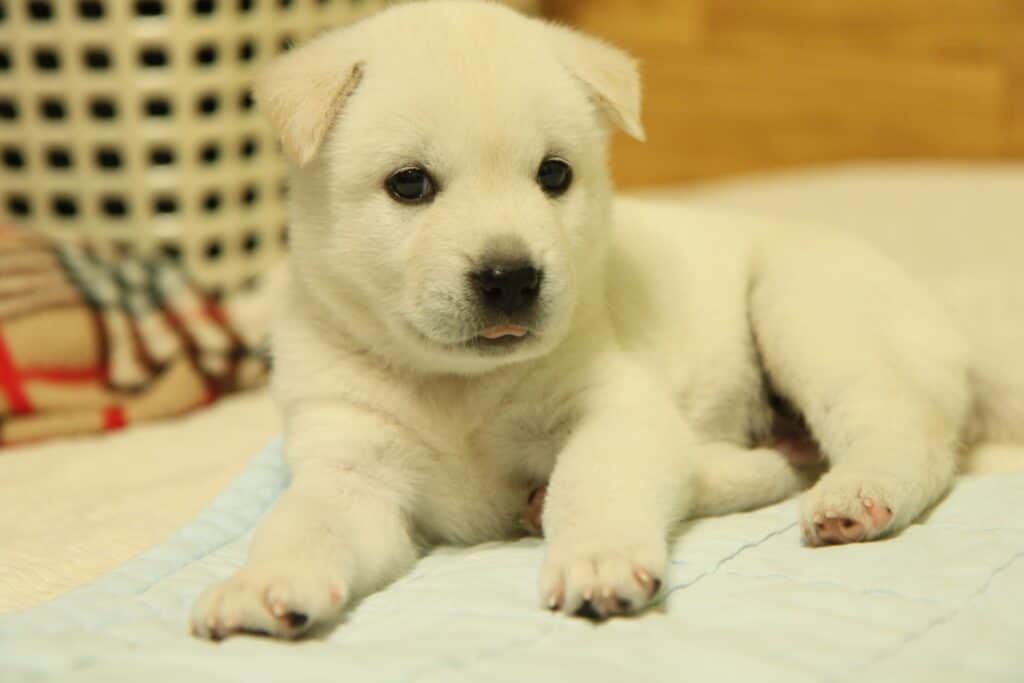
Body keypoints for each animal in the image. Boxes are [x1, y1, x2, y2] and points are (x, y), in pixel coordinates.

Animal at [192, 1, 1024, 643]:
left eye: (554, 174)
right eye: (409, 184)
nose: (510, 277)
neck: (458, 386)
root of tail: (956, 332)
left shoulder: (615, 408)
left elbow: (591, 484)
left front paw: (595, 563)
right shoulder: (350, 459)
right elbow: (304, 522)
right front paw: (262, 584)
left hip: (809, 306)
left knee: (902, 430)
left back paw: (857, 496)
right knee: (779, 460)